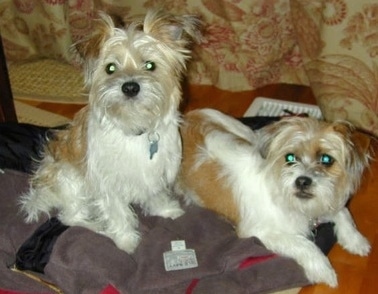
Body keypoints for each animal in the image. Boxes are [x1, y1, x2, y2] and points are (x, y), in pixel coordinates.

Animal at [19, 10, 204, 254]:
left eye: (150, 65)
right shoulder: (107, 182)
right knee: (69, 217)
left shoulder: (156, 171)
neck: (133, 127)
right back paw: (97, 225)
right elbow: (118, 213)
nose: (130, 87)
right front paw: (126, 241)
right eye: (110, 68)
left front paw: (166, 210)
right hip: (68, 179)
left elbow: (156, 194)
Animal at [176, 108, 370, 288]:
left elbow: (343, 212)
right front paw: (323, 269)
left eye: (326, 159)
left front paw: (356, 241)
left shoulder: (326, 202)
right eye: (290, 157)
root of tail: (188, 116)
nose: (302, 181)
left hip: (244, 132)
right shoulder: (260, 232)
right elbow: (303, 244)